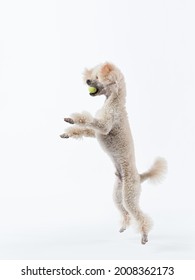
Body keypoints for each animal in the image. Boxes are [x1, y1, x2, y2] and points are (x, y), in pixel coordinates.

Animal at [60, 62, 167, 244]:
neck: (113, 101)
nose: (87, 81)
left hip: (130, 194)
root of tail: (140, 176)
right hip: (118, 195)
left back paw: (144, 235)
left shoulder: (105, 125)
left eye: (97, 77)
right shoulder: (96, 131)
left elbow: (88, 120)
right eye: (92, 76)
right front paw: (68, 132)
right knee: (125, 212)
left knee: (139, 215)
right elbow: (85, 129)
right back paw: (124, 225)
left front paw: (73, 118)